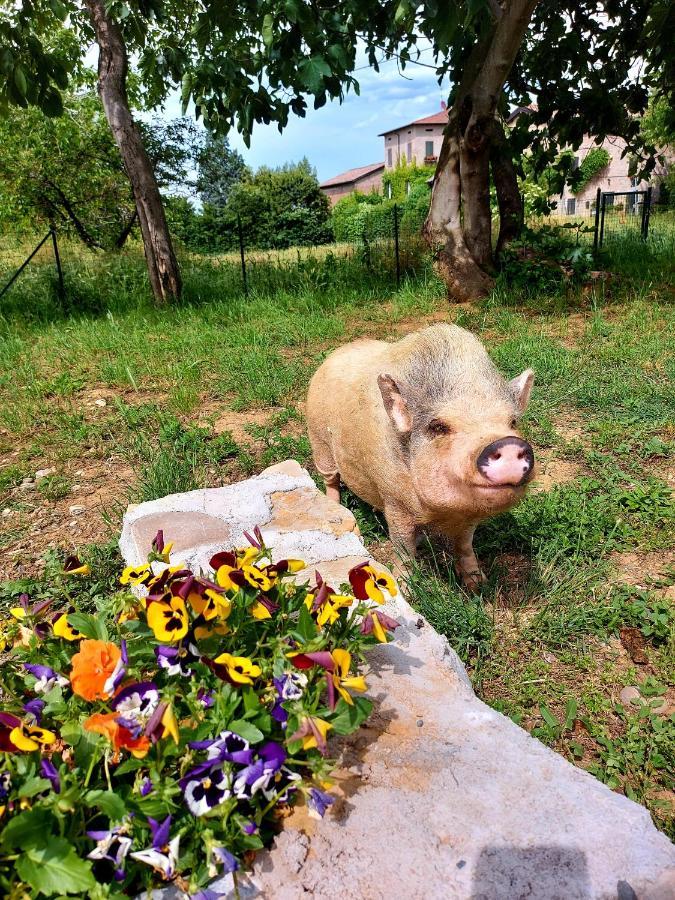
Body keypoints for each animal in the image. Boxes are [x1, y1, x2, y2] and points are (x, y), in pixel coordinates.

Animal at [308, 324, 536, 592]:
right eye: (438, 427)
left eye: (513, 422)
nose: (507, 443)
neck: (442, 513)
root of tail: (336, 353)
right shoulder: (394, 501)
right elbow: (403, 547)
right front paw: (403, 589)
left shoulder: (469, 517)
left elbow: (465, 544)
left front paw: (478, 584)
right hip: (319, 441)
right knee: (330, 479)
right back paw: (335, 505)